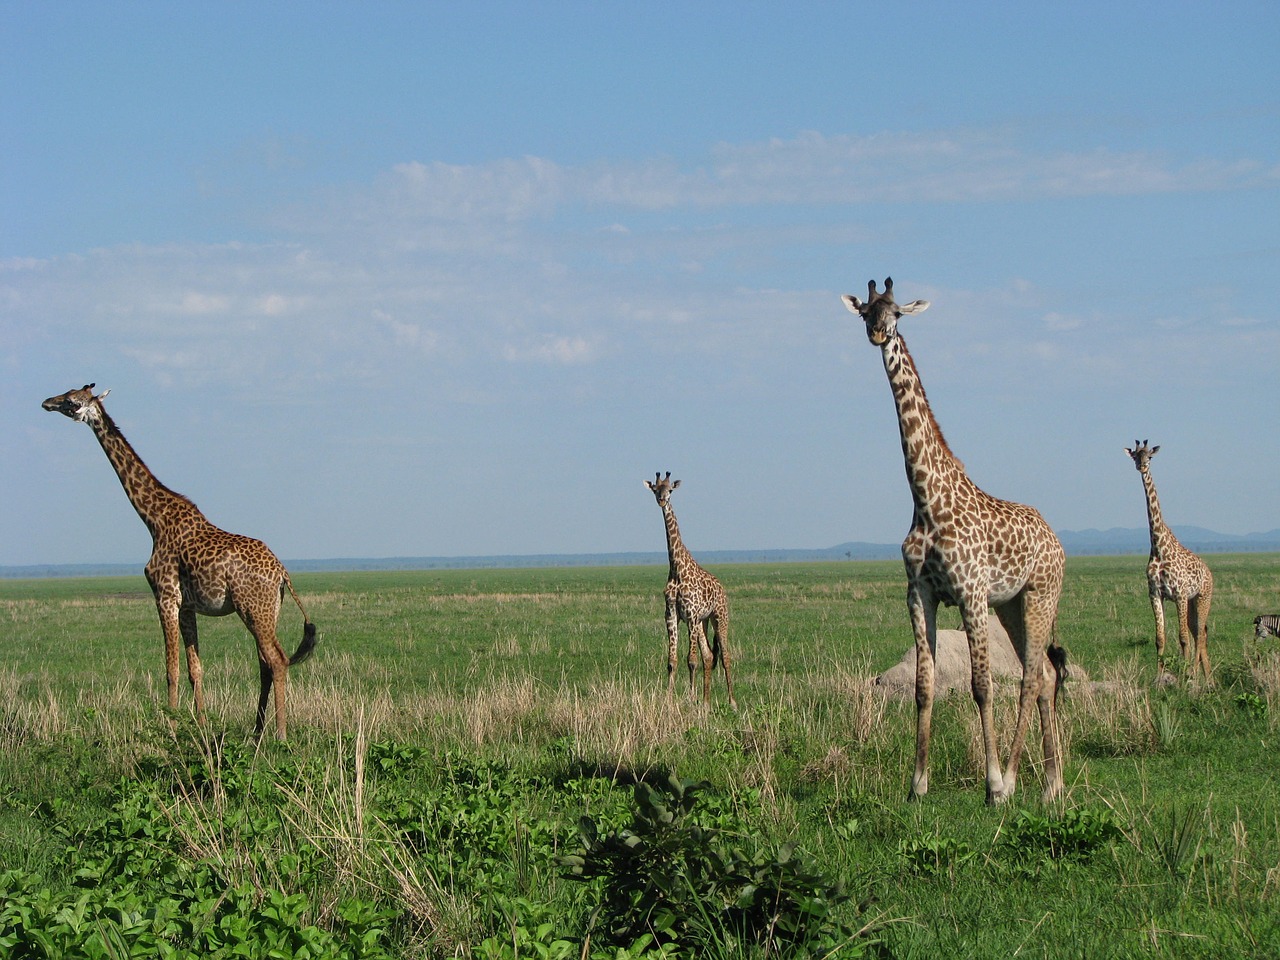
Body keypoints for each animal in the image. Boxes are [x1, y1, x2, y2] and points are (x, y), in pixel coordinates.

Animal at [43, 384, 320, 737]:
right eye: (65, 394)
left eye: (71, 401)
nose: (46, 403)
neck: (154, 519)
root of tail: (283, 573)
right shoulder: (188, 605)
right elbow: (195, 668)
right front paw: (200, 725)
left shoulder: (165, 595)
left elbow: (170, 669)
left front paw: (171, 727)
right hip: (267, 611)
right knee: (265, 663)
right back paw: (256, 731)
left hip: (252, 608)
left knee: (278, 659)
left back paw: (279, 735)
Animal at [645, 471, 737, 706]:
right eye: (655, 489)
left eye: (670, 490)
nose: (662, 500)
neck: (677, 568)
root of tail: (722, 588)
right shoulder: (672, 615)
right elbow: (673, 661)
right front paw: (670, 700)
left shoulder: (692, 615)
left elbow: (691, 660)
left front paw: (690, 697)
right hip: (703, 622)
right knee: (710, 656)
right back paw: (706, 702)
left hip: (718, 617)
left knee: (725, 655)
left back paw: (732, 702)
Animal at [839, 277, 1070, 803]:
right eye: (865, 311)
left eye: (896, 313)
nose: (877, 334)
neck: (926, 498)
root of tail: (1056, 538)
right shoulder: (919, 593)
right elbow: (924, 687)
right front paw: (917, 785)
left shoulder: (970, 593)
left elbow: (982, 685)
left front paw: (993, 783)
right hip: (1011, 605)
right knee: (1046, 675)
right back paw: (1052, 785)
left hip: (1039, 595)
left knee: (1030, 678)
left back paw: (1014, 780)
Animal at [1126, 442, 1213, 686]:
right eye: (1135, 456)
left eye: (1150, 457)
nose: (1142, 466)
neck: (1158, 547)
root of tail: (1209, 572)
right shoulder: (1156, 593)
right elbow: (1160, 638)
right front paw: (1159, 677)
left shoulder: (1180, 594)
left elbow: (1183, 638)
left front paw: (1186, 675)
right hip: (1193, 602)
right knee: (1199, 633)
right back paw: (1208, 678)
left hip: (1202, 598)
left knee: (1198, 635)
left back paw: (1196, 674)